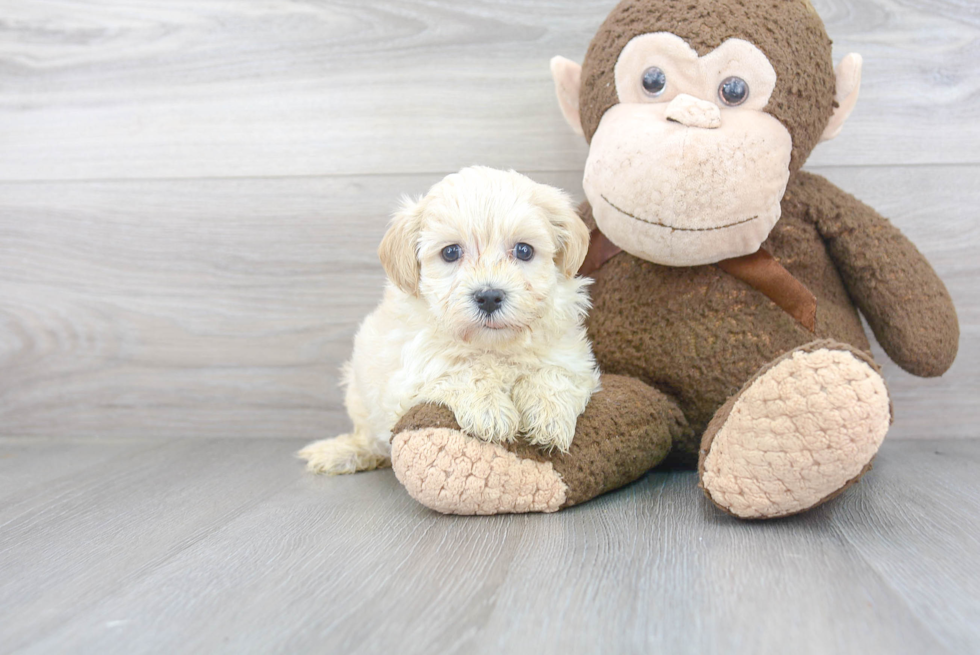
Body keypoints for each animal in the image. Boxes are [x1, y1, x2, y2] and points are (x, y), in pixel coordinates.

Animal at [298, 167, 600, 474]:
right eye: (451, 252)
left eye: (524, 251)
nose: (489, 297)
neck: (492, 346)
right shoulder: (410, 376)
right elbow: (459, 371)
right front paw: (489, 410)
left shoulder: (573, 359)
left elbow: (554, 374)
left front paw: (549, 416)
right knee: (369, 437)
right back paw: (344, 452)